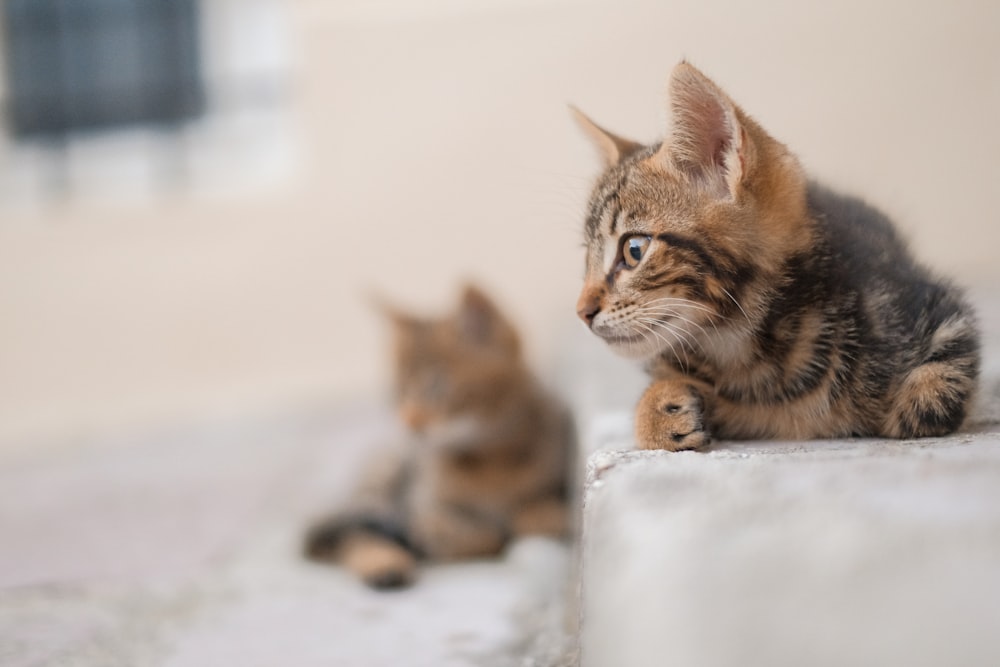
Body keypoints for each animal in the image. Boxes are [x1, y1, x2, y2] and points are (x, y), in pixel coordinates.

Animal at [304, 284, 576, 588]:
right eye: (400, 392)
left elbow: (536, 512)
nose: (408, 422)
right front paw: (436, 538)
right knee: (351, 534)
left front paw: (539, 515)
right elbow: (481, 535)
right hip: (377, 485)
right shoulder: (424, 504)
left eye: (435, 386)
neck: (490, 461)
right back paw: (383, 563)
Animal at [576, 64, 980, 448]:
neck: (744, 347)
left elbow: (932, 398)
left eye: (634, 250)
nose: (582, 313)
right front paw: (659, 409)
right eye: (587, 258)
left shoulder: (935, 311)